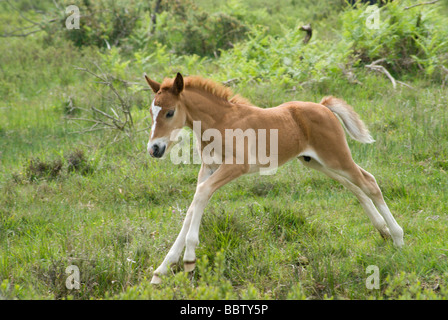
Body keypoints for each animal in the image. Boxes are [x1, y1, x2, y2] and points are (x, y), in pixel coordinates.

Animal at [145, 73, 404, 284]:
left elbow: (200, 194)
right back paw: (382, 230)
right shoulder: (208, 168)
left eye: (170, 112)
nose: (154, 149)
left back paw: (398, 238)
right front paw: (161, 270)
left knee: (369, 182)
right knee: (355, 186)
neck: (220, 122)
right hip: (314, 161)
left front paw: (189, 258)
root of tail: (323, 107)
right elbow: (193, 205)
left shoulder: (236, 166)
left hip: (336, 157)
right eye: (151, 112)